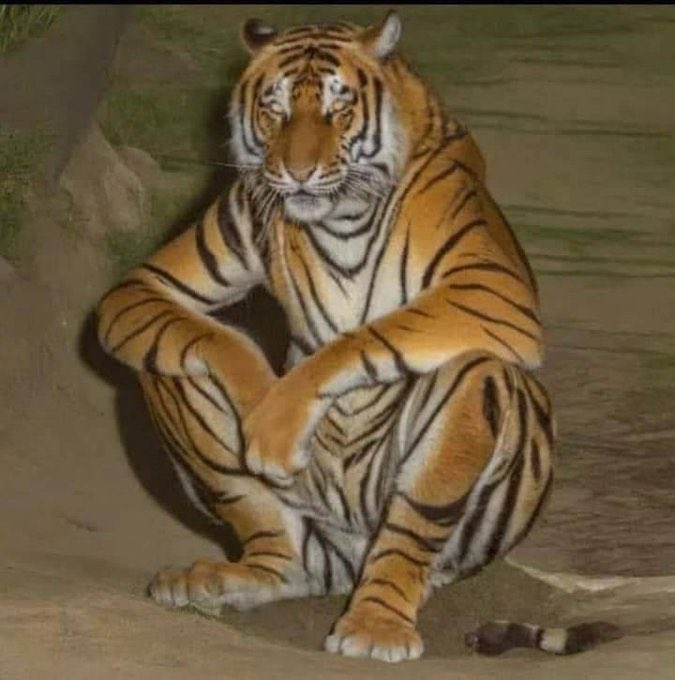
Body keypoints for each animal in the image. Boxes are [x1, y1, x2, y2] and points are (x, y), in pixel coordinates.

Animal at [96, 12, 621, 662]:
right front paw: (259, 405)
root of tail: (343, 564)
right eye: (274, 110)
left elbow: (367, 336)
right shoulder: (161, 278)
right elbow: (214, 335)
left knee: (421, 508)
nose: (296, 172)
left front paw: (278, 414)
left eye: (337, 109)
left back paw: (376, 624)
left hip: (454, 465)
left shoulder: (494, 290)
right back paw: (230, 577)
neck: (339, 216)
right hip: (260, 481)